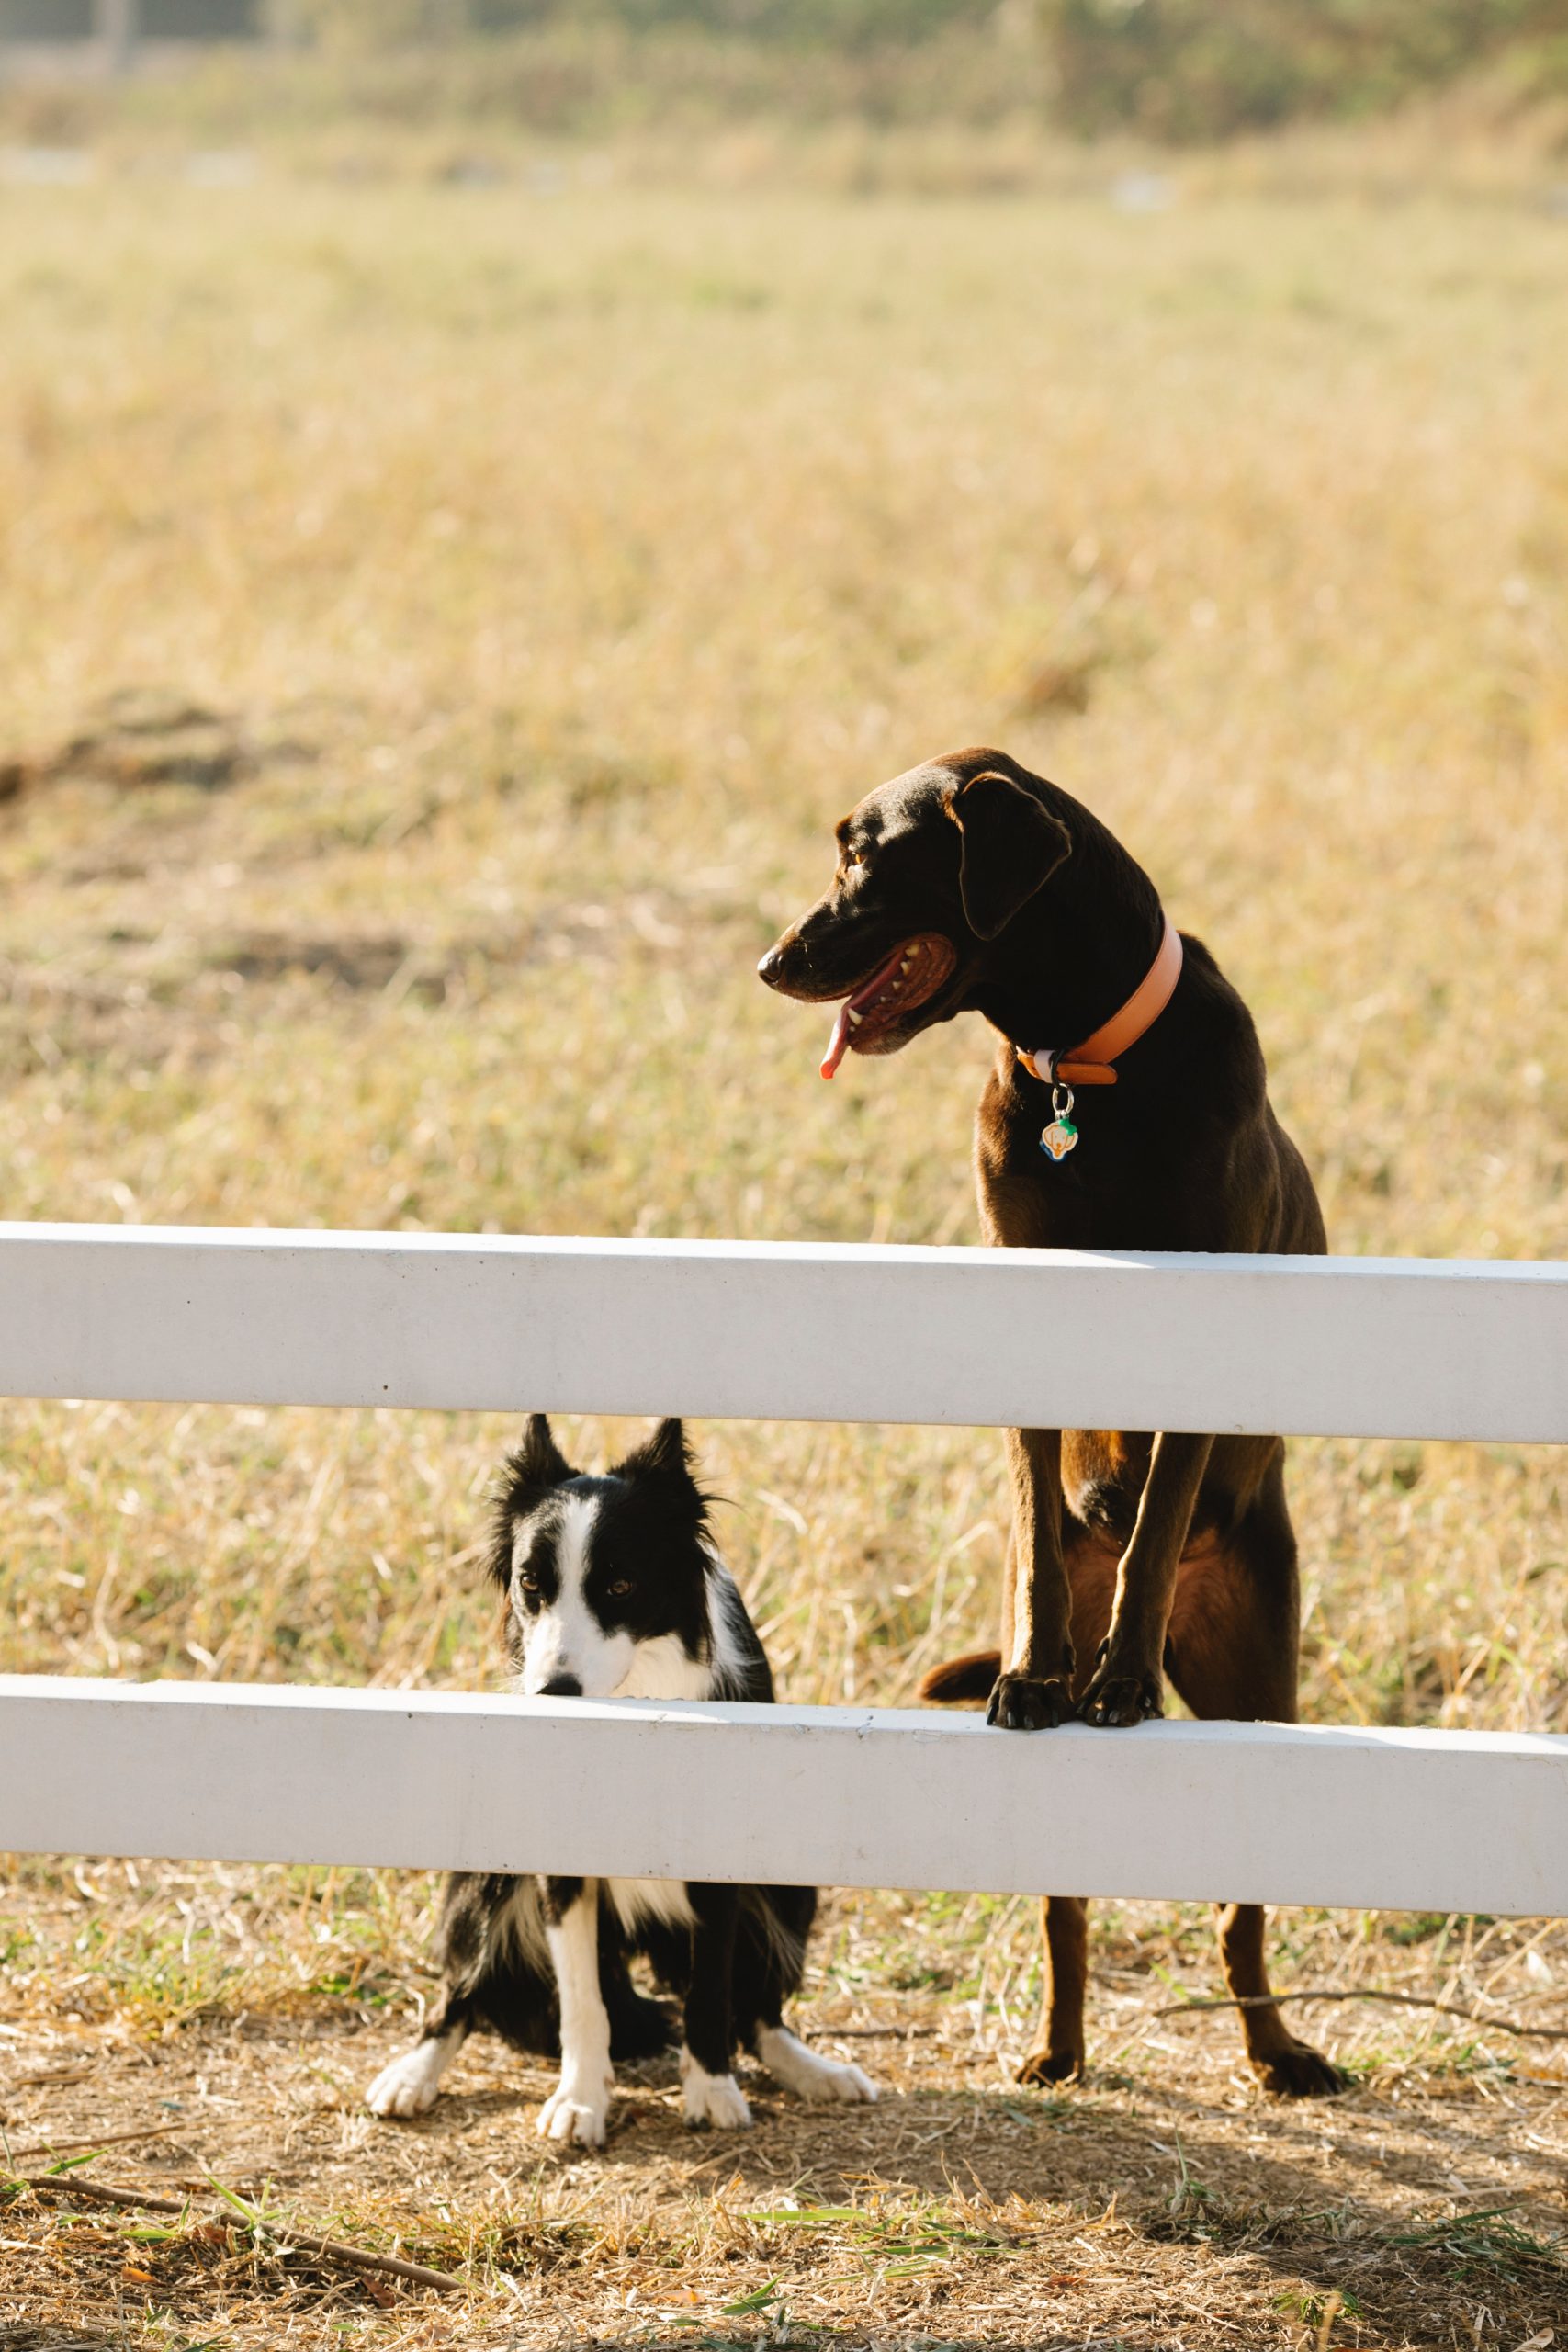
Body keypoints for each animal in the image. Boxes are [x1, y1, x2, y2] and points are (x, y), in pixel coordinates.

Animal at [373, 1411, 879, 2154]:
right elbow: (583, 2004)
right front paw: (580, 2100)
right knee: (466, 1990)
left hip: (789, 1889)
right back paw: (414, 2073)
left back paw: (814, 2071)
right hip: (485, 1873)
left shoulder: (724, 1858)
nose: (553, 1692)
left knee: (756, 2010)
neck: (640, 1706)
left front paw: (710, 2090)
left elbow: (711, 1991)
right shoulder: (558, 1858)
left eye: (619, 1587)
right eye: (531, 1584)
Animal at [757, 748, 1335, 2098]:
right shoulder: (1025, 1314)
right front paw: (1036, 1672)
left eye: (864, 852)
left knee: (1240, 1915)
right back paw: (1059, 2048)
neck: (1086, 1068)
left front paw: (1115, 1680)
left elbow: (1158, 1508)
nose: (768, 961)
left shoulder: (1195, 1329)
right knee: (1062, 1907)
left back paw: (1275, 2048)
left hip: (1257, 1683)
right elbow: (1032, 1541)